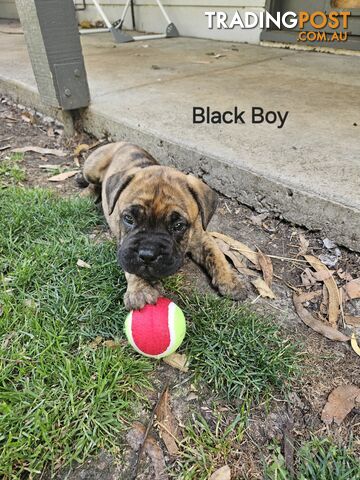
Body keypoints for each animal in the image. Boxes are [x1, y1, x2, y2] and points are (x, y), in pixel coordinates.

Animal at [80, 141, 246, 310]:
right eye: (128, 218)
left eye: (178, 225)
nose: (147, 254)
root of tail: (122, 142)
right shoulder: (124, 245)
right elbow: (130, 263)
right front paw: (140, 290)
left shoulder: (201, 237)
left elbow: (217, 255)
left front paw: (230, 281)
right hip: (91, 169)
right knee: (92, 183)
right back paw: (86, 195)